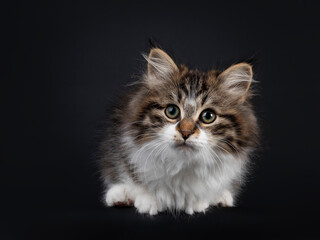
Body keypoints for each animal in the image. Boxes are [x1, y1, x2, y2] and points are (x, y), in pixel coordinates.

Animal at [100, 47, 260, 215]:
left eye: (208, 116)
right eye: (172, 111)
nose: (185, 132)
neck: (182, 163)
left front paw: (197, 203)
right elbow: (135, 177)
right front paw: (149, 200)